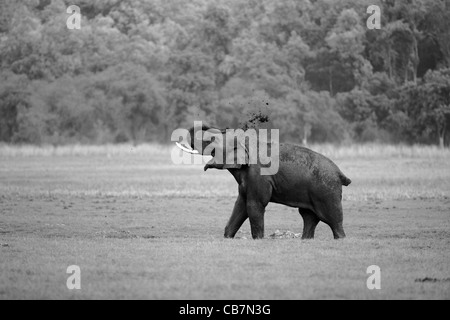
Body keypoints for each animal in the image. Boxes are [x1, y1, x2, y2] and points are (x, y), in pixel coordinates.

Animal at [177, 124, 352, 239]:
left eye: (212, 140)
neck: (247, 143)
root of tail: (340, 174)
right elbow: (241, 205)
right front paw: (227, 237)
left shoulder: (258, 176)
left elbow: (254, 205)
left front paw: (258, 239)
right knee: (309, 216)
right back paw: (306, 240)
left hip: (326, 192)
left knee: (332, 219)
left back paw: (340, 238)